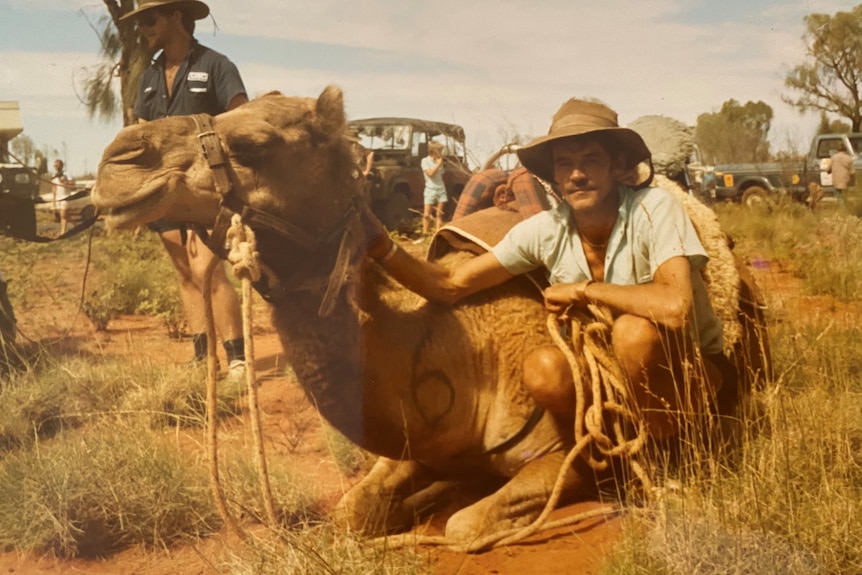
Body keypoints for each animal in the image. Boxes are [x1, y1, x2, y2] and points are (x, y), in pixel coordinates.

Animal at [91, 85, 772, 544]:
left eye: (254, 143)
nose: (118, 161)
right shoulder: (412, 447)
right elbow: (352, 513)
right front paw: (426, 494)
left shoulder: (563, 456)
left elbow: (466, 526)